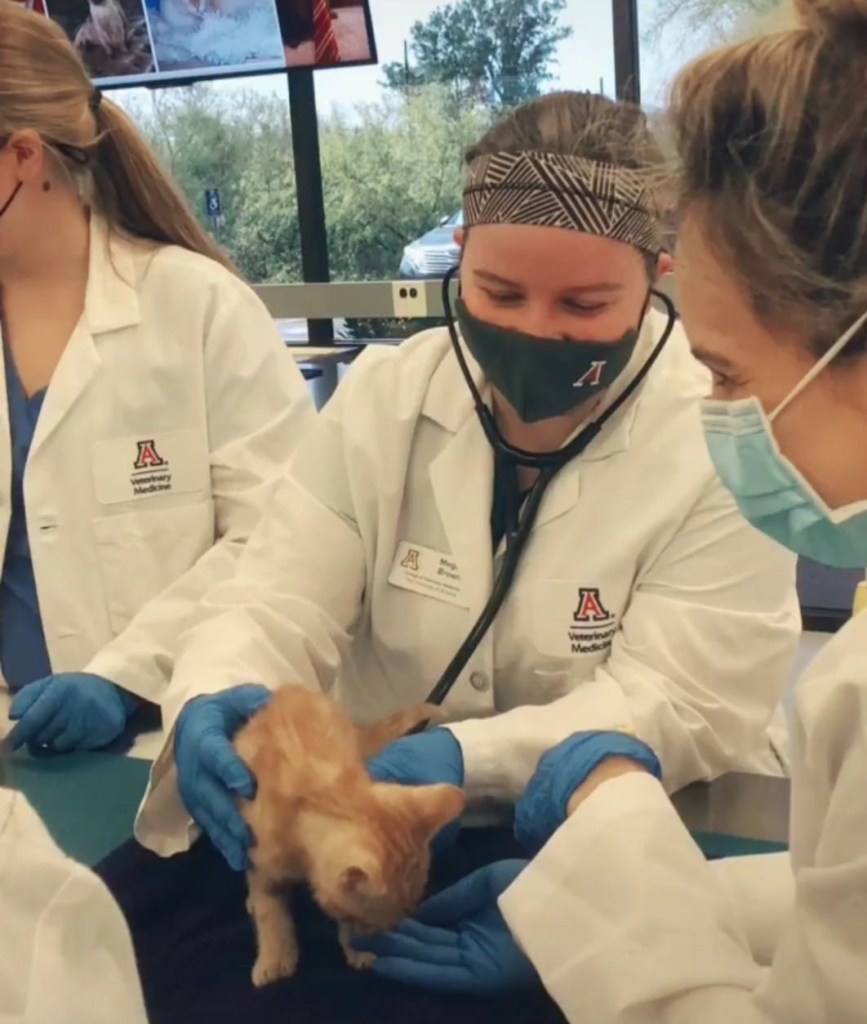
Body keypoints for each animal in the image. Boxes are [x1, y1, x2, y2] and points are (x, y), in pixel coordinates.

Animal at [234, 687, 466, 987]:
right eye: (372, 921)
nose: (387, 931)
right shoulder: (259, 857)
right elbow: (269, 911)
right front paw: (274, 957)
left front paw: (358, 949)